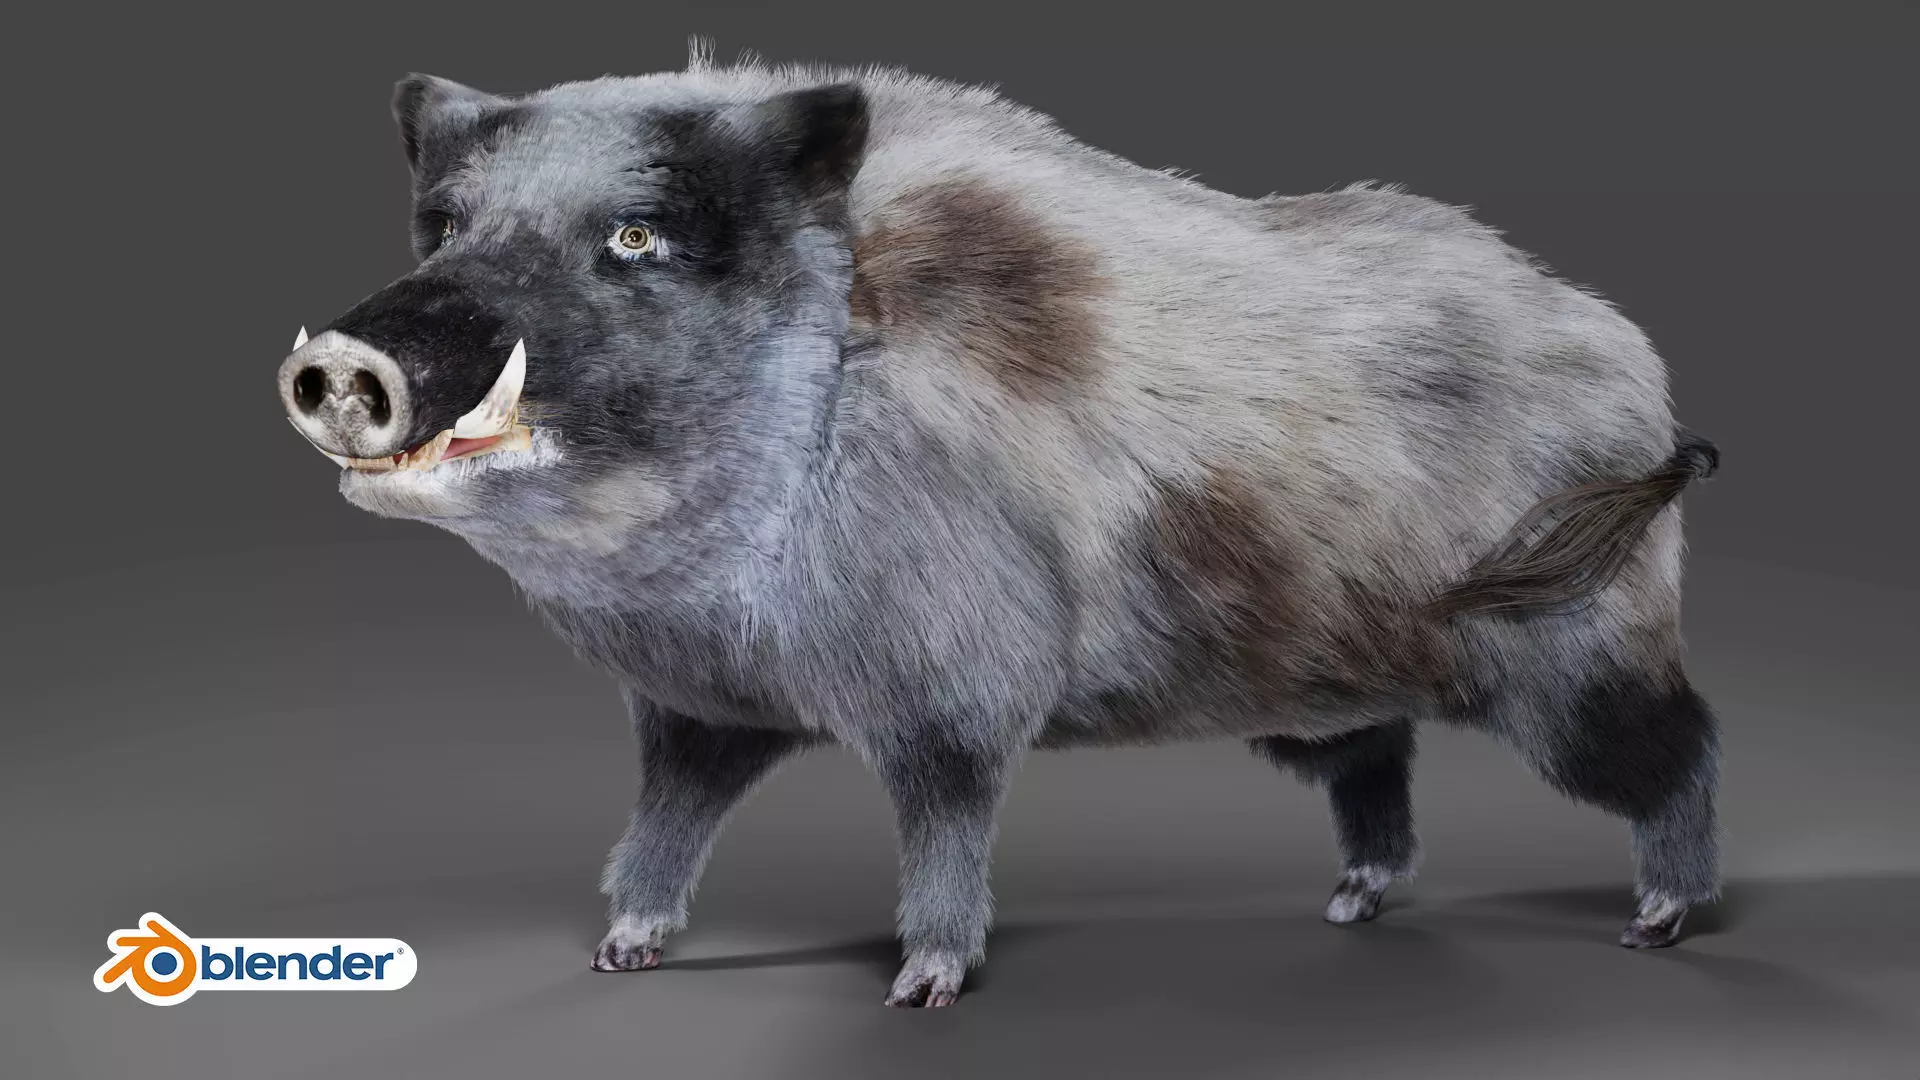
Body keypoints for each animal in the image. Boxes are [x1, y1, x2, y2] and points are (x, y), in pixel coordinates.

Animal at [276, 40, 1722, 1008]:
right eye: (445, 228)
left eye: (635, 236)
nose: (343, 359)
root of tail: (1635, 367)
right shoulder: (698, 708)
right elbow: (665, 821)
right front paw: (620, 955)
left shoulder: (957, 684)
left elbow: (946, 816)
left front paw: (921, 987)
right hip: (1326, 693)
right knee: (1378, 768)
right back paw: (1349, 906)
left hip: (1576, 648)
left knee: (1682, 744)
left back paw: (1661, 923)